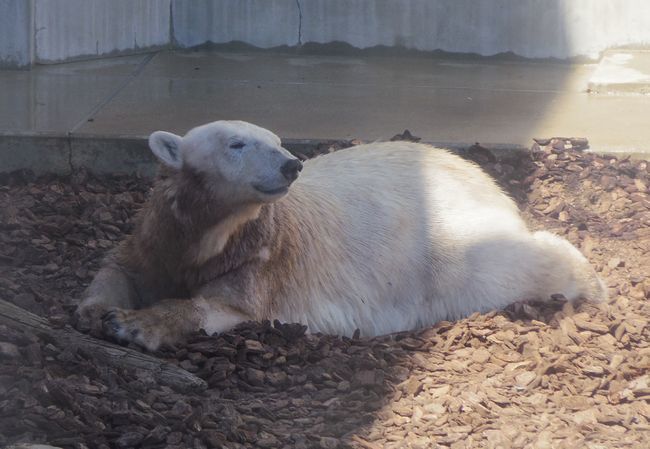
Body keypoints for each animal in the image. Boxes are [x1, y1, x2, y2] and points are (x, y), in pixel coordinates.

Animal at [73, 120, 604, 350]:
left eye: (278, 140)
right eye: (237, 143)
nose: (292, 164)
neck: (208, 235)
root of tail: (485, 181)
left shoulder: (257, 263)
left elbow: (222, 306)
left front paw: (135, 325)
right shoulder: (155, 236)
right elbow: (118, 267)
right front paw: (95, 310)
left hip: (447, 246)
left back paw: (587, 279)